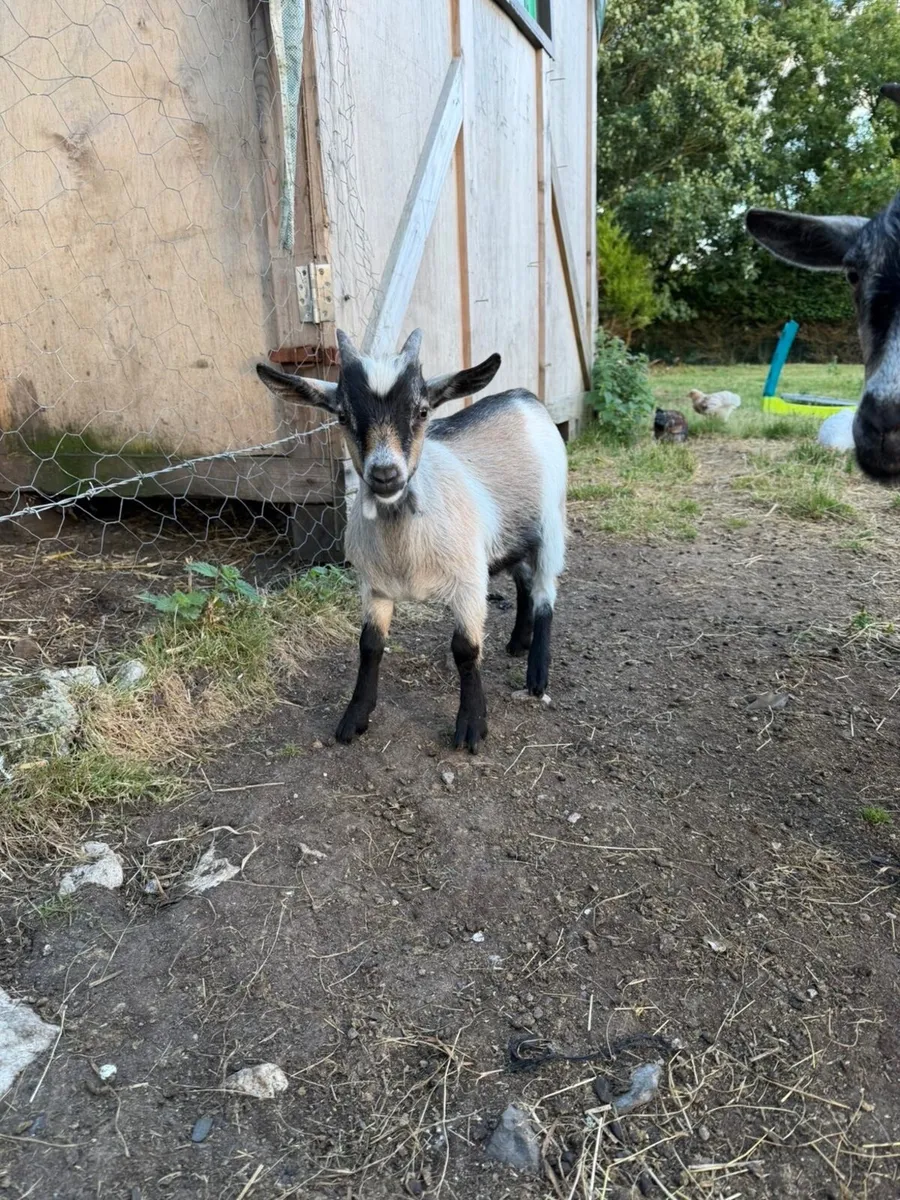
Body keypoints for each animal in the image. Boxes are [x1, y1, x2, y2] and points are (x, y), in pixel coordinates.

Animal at [256, 328, 567, 752]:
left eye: (422, 411)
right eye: (342, 415)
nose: (385, 474)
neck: (405, 552)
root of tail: (522, 396)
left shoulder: (469, 582)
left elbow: (466, 650)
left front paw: (472, 726)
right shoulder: (373, 586)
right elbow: (370, 645)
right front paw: (354, 718)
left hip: (551, 522)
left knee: (545, 593)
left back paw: (537, 674)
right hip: (508, 533)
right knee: (523, 580)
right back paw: (518, 642)